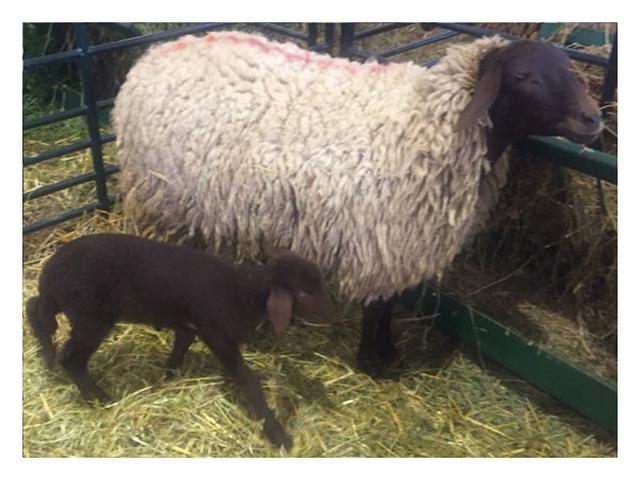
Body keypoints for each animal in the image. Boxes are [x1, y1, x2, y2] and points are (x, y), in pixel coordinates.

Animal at [26, 233, 334, 449]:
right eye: (304, 293)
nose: (333, 312)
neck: (243, 289)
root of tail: (49, 273)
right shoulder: (217, 333)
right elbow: (246, 378)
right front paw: (277, 433)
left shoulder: (189, 324)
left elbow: (181, 344)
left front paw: (168, 374)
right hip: (90, 316)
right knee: (71, 357)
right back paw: (99, 397)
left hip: (68, 307)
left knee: (35, 309)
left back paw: (47, 355)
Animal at [113, 31, 603, 377]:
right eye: (523, 77)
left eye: (568, 65)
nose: (593, 118)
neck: (432, 121)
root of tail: (154, 56)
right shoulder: (383, 238)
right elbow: (379, 305)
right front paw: (375, 361)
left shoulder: (401, 239)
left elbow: (391, 302)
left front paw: (386, 352)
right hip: (162, 195)